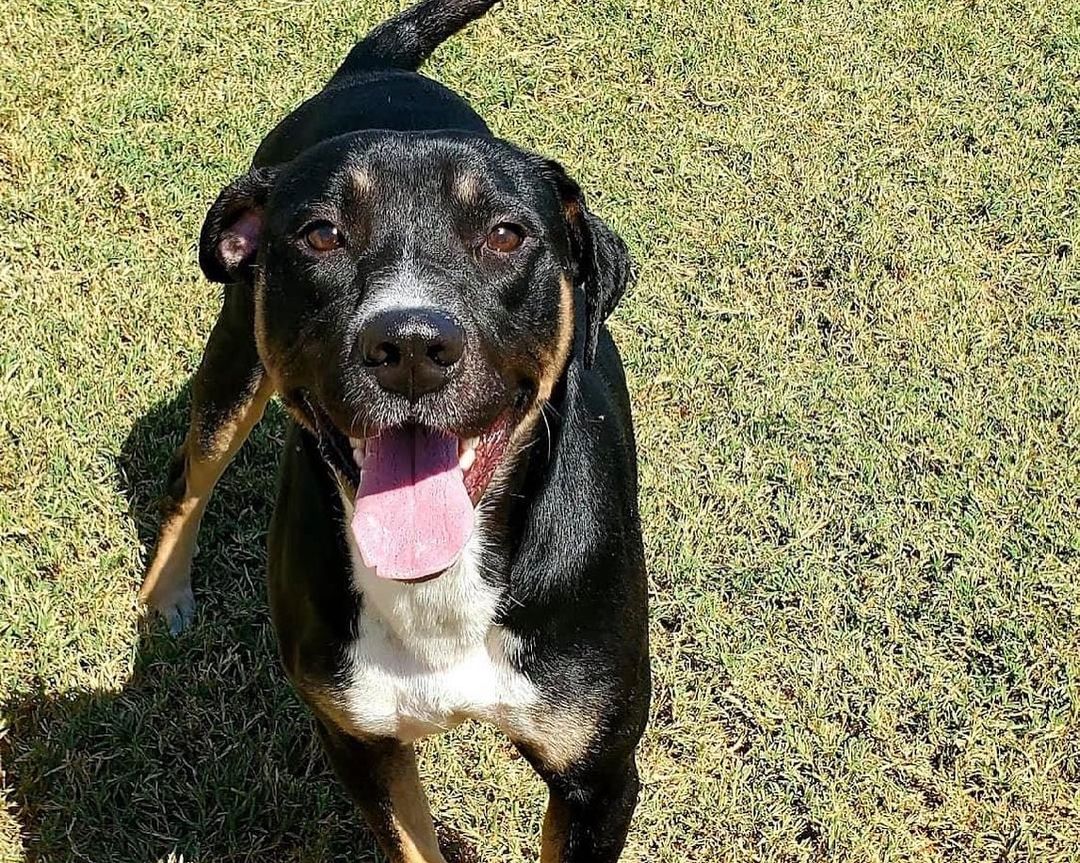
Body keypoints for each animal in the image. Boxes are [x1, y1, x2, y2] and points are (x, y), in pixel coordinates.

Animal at [139, 3, 652, 859]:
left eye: (506, 235)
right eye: (320, 233)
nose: (410, 344)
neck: (444, 583)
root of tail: (370, 69)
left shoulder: (597, 776)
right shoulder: (358, 739)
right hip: (237, 356)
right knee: (190, 476)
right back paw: (163, 598)